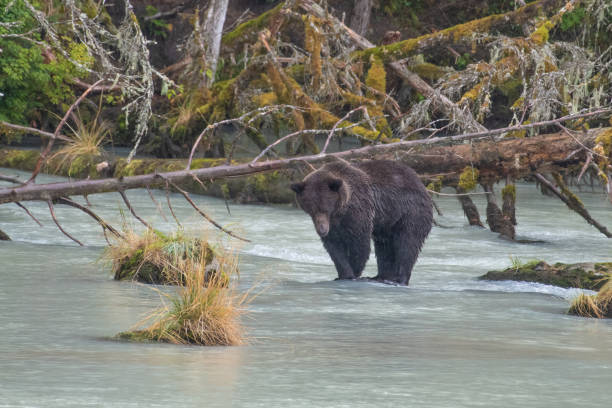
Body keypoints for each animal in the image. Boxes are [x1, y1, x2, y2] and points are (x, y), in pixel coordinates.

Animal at [292, 158, 432, 286]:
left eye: (326, 209)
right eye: (311, 210)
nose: (322, 230)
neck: (341, 211)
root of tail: (420, 182)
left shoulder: (360, 212)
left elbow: (359, 244)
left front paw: (353, 274)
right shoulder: (335, 226)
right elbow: (334, 248)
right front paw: (343, 274)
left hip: (409, 212)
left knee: (407, 243)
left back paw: (399, 280)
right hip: (387, 223)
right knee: (384, 247)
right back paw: (380, 277)